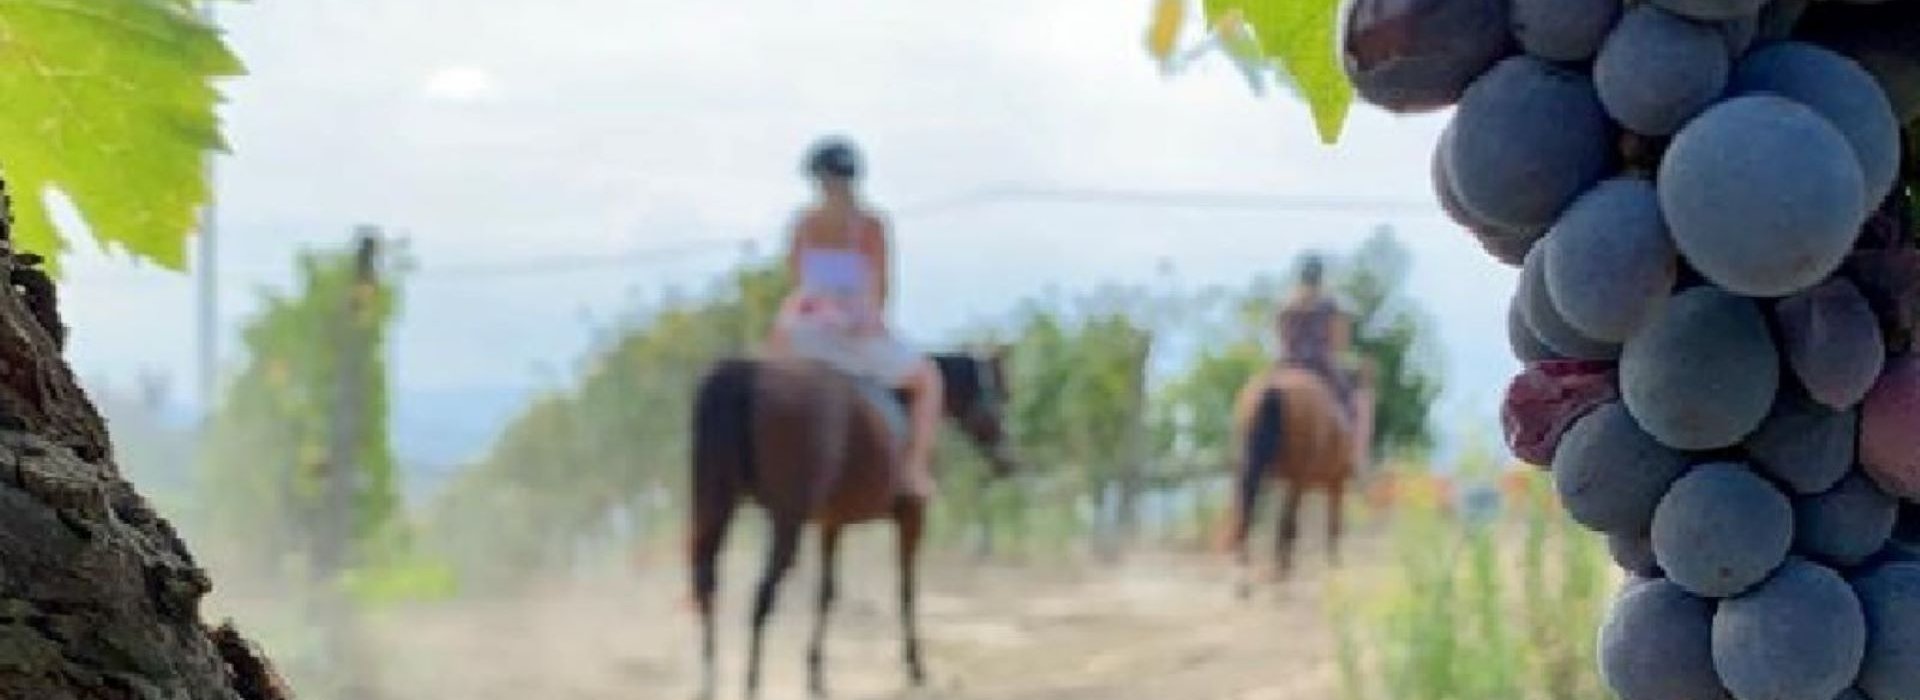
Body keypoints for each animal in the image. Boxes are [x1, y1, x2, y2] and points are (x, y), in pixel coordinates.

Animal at [691, 349, 1021, 698]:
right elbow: (906, 589)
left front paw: (816, 676)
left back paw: (709, 682)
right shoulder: (912, 517)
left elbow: (826, 592)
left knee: (707, 583)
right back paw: (750, 684)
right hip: (786, 521)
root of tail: (750, 372)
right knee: (761, 596)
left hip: (718, 505)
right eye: (1004, 394)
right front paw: (915, 667)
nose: (1008, 462)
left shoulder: (831, 524)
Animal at [1228, 362, 1367, 590]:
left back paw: (1245, 580)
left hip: (1251, 470)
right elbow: (1332, 526)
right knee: (1286, 524)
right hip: (1298, 480)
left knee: (1244, 515)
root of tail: (1274, 387)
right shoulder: (1335, 483)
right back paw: (1279, 578)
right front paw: (1334, 569)